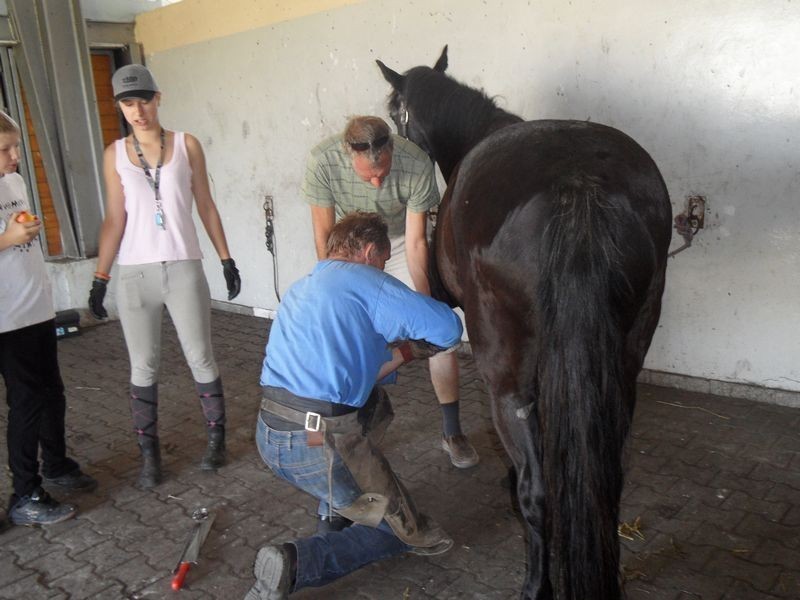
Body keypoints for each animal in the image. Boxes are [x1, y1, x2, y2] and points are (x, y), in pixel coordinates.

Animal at [378, 48, 672, 600]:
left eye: (392, 111)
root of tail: (577, 185)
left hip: (506, 379)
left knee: (537, 491)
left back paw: (536, 582)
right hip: (624, 364)